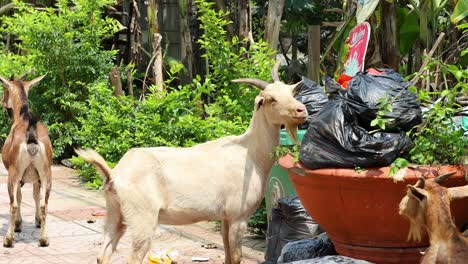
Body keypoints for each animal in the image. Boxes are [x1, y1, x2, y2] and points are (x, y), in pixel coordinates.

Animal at [75, 62, 308, 264]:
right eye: (271, 99)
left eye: (291, 93)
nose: (301, 110)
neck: (249, 152)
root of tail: (114, 175)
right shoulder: (238, 216)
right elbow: (236, 257)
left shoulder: (224, 218)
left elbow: (227, 255)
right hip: (143, 218)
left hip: (115, 214)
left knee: (102, 255)